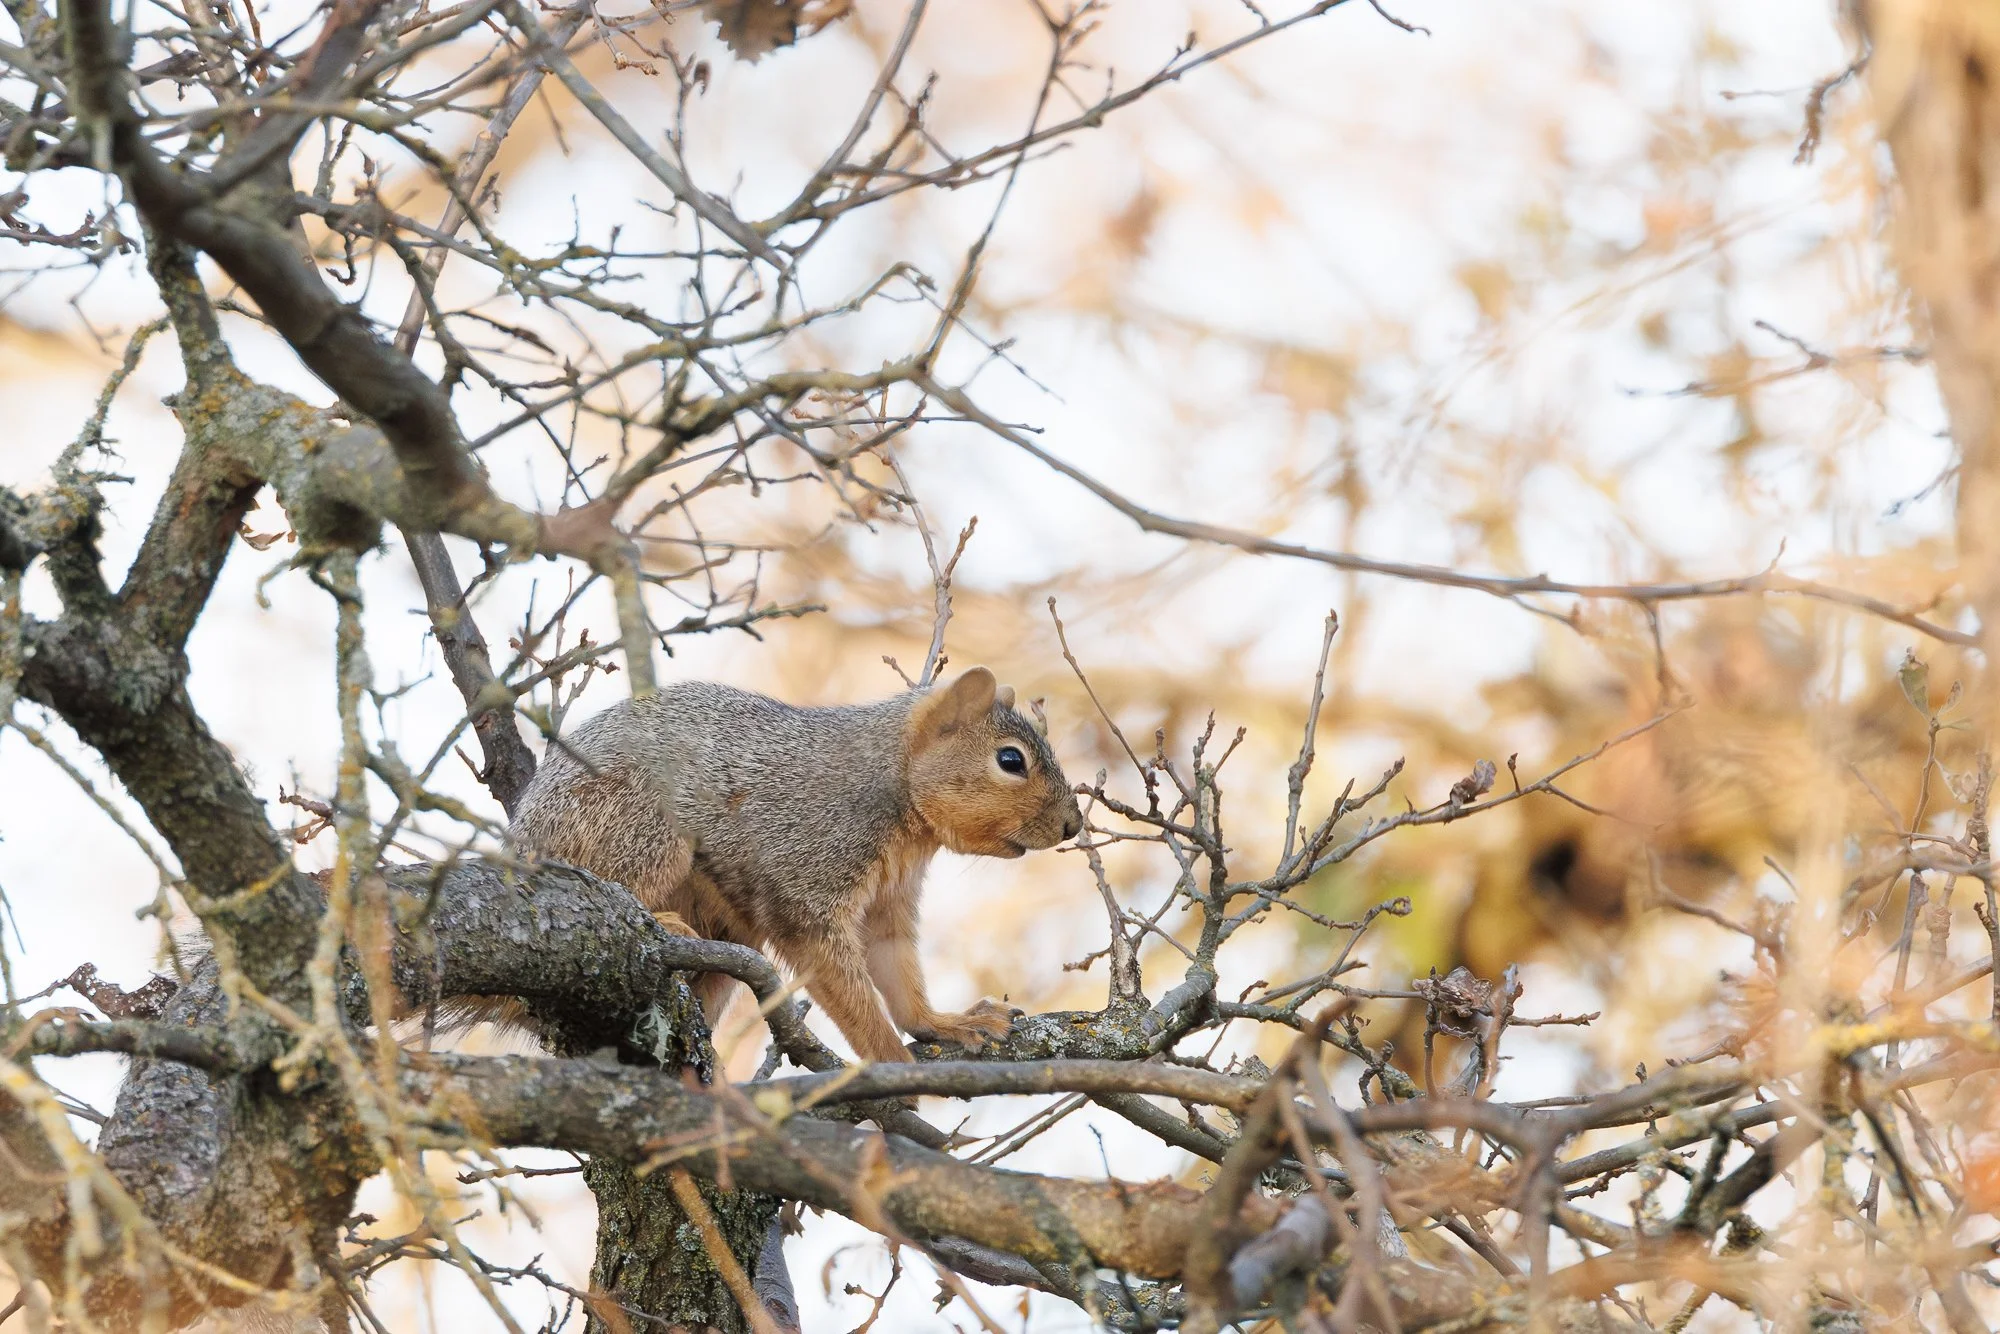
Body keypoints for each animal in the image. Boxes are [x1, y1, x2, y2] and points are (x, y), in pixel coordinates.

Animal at [507, 666, 1082, 1063]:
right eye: (1010, 760)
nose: (1073, 825)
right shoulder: (806, 869)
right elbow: (828, 962)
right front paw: (891, 1062)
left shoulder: (889, 899)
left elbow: (892, 963)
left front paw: (943, 1022)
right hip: (637, 825)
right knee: (610, 886)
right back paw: (659, 921)